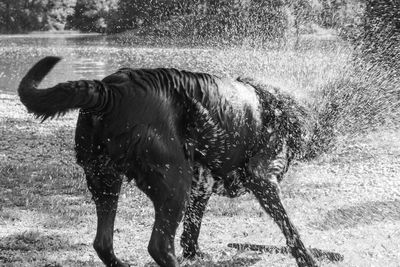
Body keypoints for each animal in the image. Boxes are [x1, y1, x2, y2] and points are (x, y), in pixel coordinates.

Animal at [18, 57, 318, 267]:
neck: (275, 105)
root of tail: (110, 91)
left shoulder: (201, 184)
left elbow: (192, 228)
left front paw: (195, 253)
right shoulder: (261, 178)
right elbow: (289, 227)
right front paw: (308, 258)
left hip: (105, 180)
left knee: (103, 242)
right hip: (174, 181)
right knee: (159, 246)